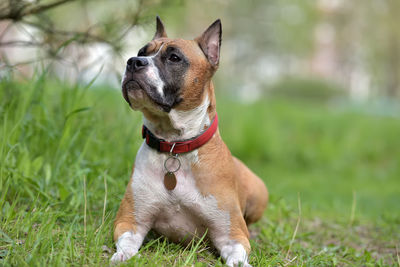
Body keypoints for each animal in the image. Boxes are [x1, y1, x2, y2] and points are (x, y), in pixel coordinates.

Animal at [111, 17, 268, 267]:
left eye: (174, 58)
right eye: (141, 52)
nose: (134, 62)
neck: (175, 145)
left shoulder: (231, 234)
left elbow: (237, 255)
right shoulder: (130, 221)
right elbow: (127, 240)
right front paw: (123, 256)